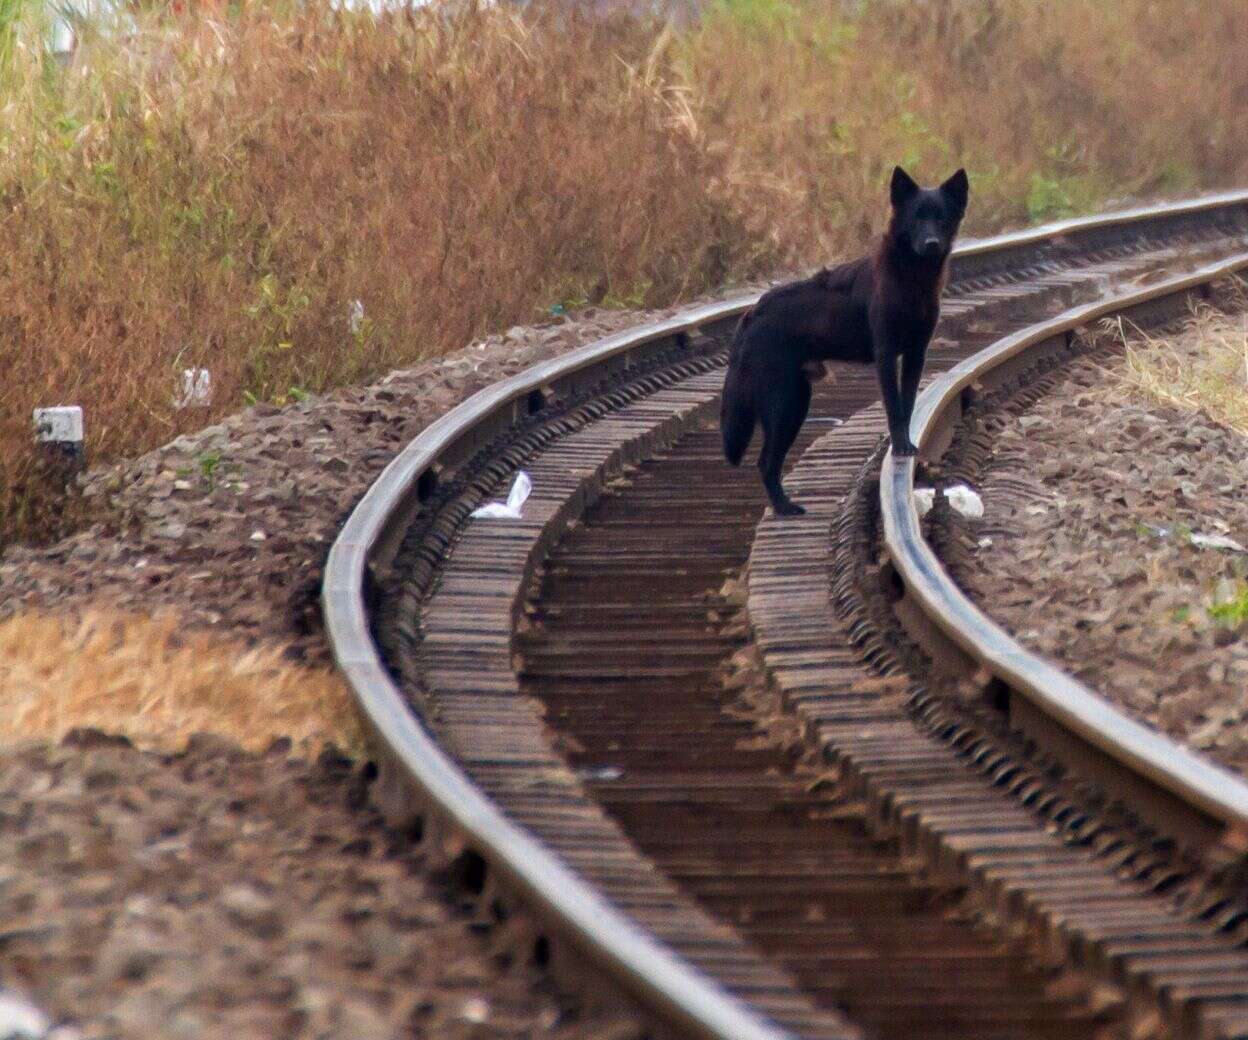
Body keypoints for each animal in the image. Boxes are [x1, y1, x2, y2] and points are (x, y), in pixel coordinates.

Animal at [723, 164, 963, 514]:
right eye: (917, 217)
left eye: (941, 218)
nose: (931, 243)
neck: (912, 280)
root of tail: (752, 313)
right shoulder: (885, 354)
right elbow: (894, 407)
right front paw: (900, 446)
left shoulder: (915, 353)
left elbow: (907, 403)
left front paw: (906, 445)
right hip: (785, 403)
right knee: (765, 462)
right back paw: (785, 508)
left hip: (796, 399)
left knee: (767, 462)